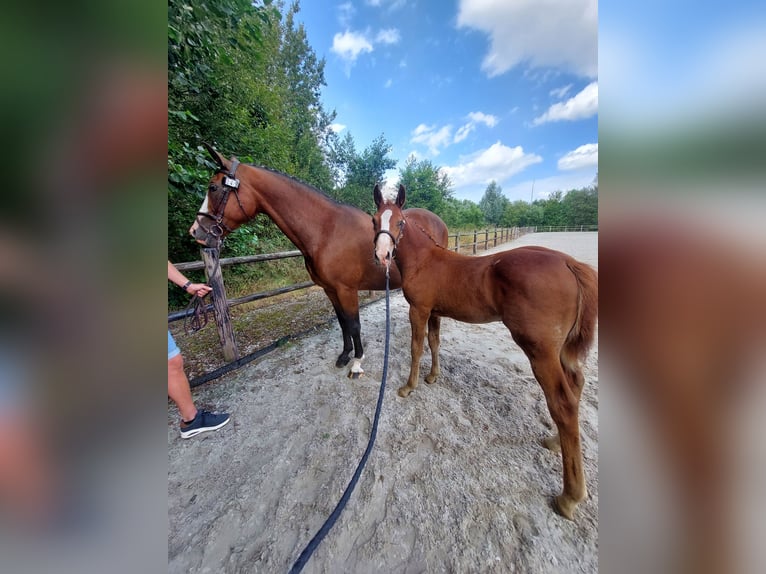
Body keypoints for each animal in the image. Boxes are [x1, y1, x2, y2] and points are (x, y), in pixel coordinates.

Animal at [188, 146, 450, 378]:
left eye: (213, 187)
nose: (196, 232)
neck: (327, 230)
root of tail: (438, 220)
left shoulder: (347, 290)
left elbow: (354, 325)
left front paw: (357, 362)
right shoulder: (330, 290)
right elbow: (343, 323)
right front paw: (344, 356)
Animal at [372, 186, 600, 520]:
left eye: (400, 222)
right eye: (374, 220)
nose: (382, 255)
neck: (426, 260)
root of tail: (570, 264)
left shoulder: (419, 310)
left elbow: (416, 347)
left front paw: (408, 387)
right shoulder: (435, 312)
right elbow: (435, 342)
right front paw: (433, 377)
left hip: (540, 351)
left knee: (563, 403)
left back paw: (569, 497)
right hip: (560, 351)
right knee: (576, 384)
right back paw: (555, 442)